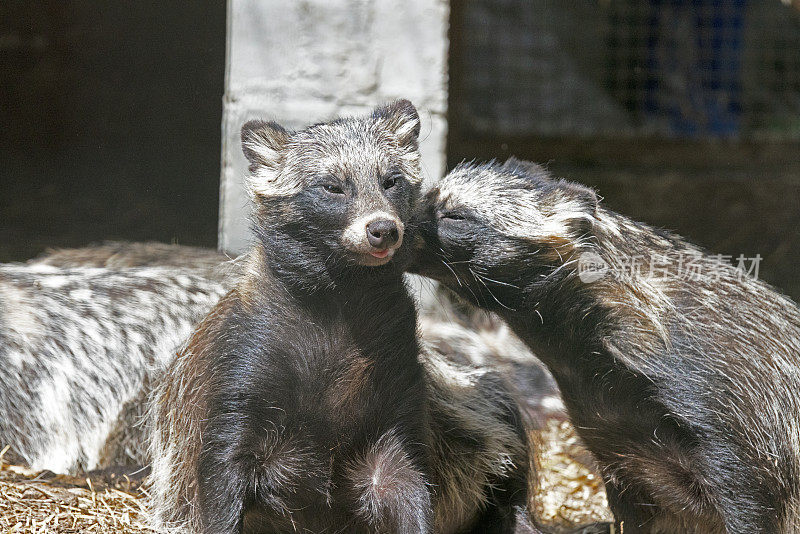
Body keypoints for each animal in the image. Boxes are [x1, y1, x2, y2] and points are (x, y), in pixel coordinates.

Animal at [148, 101, 536, 534]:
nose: (383, 229)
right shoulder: (242, 367)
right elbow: (222, 473)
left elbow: (405, 479)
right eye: (333, 186)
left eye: (391, 181)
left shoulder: (399, 381)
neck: (342, 298)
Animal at [412, 159, 800, 534]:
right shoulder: (622, 454)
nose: (401, 224)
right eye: (428, 197)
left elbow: (749, 504)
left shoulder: (738, 442)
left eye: (456, 215)